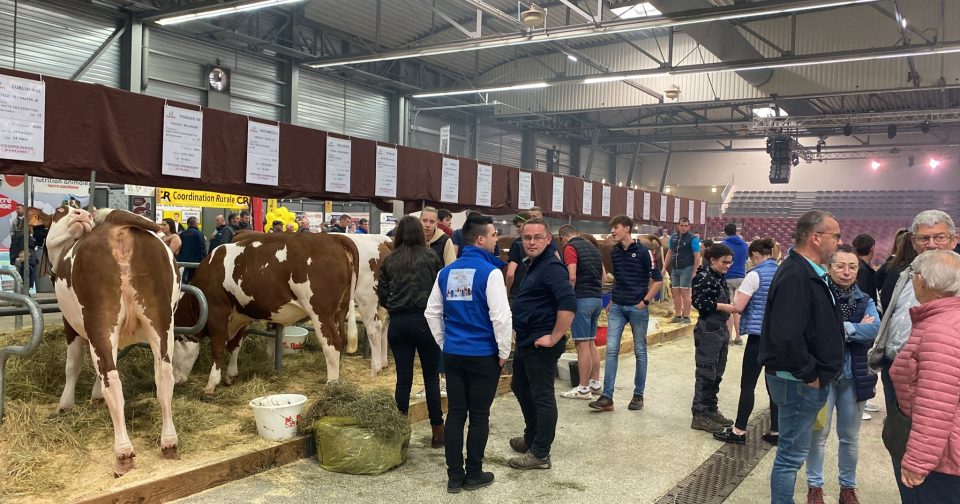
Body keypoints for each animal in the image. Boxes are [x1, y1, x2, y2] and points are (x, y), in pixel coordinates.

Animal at [46, 208, 183, 476]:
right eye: (62, 211)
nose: (80, 212)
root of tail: (115, 223)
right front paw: (94, 395)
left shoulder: (71, 325)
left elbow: (73, 364)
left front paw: (65, 405)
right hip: (161, 321)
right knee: (163, 376)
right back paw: (169, 443)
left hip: (100, 320)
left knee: (112, 381)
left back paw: (123, 454)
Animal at [173, 229, 360, 394]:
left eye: (174, 343)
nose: (176, 381)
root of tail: (333, 238)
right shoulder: (240, 314)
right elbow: (235, 345)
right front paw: (230, 375)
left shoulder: (217, 312)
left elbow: (218, 348)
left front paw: (211, 384)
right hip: (339, 311)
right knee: (341, 339)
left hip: (321, 313)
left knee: (331, 344)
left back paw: (331, 384)